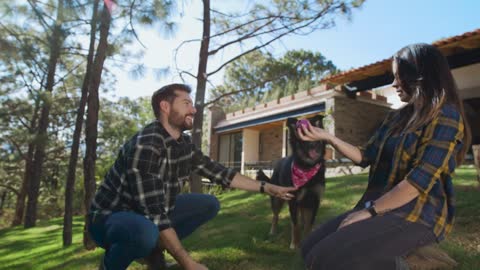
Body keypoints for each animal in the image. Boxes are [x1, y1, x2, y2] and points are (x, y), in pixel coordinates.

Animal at [256, 115, 328, 250]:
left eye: (315, 135)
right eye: (304, 136)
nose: (314, 145)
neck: (307, 166)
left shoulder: (314, 200)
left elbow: (309, 224)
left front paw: (307, 240)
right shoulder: (293, 201)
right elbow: (295, 225)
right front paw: (294, 244)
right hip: (277, 199)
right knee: (275, 216)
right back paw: (273, 231)